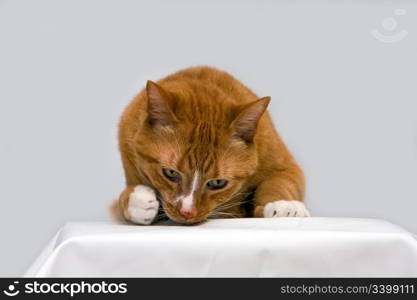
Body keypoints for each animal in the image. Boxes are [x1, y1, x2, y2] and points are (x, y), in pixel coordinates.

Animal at [111, 66, 308, 225]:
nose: (187, 212)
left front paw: (284, 206)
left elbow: (279, 183)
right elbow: (121, 200)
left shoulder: (285, 164)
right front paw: (137, 200)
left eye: (218, 182)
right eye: (171, 173)